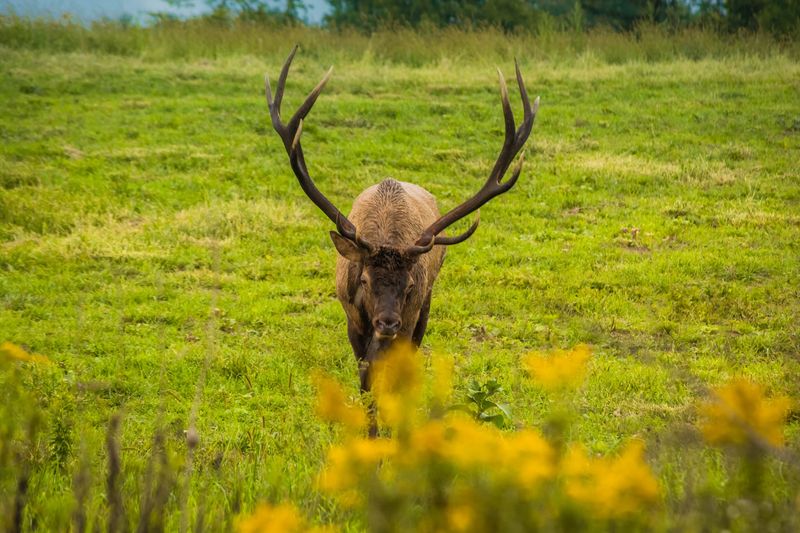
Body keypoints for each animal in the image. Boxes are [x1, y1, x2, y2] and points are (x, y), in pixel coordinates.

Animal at [266, 47, 538, 435]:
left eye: (409, 284)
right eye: (364, 279)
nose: (387, 323)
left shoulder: (410, 315)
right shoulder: (354, 322)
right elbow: (366, 387)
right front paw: (371, 436)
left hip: (424, 309)